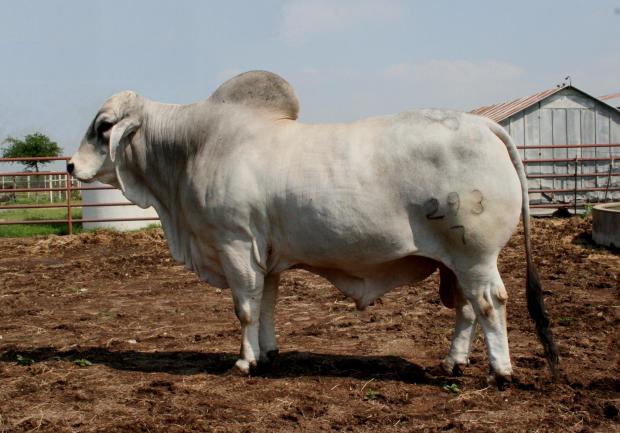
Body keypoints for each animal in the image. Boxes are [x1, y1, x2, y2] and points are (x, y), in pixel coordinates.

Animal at [68, 71, 556, 384]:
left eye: (103, 126)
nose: (71, 165)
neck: (193, 147)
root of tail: (484, 123)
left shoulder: (234, 244)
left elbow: (244, 308)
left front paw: (243, 363)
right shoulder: (266, 257)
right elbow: (266, 305)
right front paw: (267, 354)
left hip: (475, 254)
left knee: (490, 303)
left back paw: (501, 371)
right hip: (455, 262)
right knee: (467, 309)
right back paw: (454, 361)